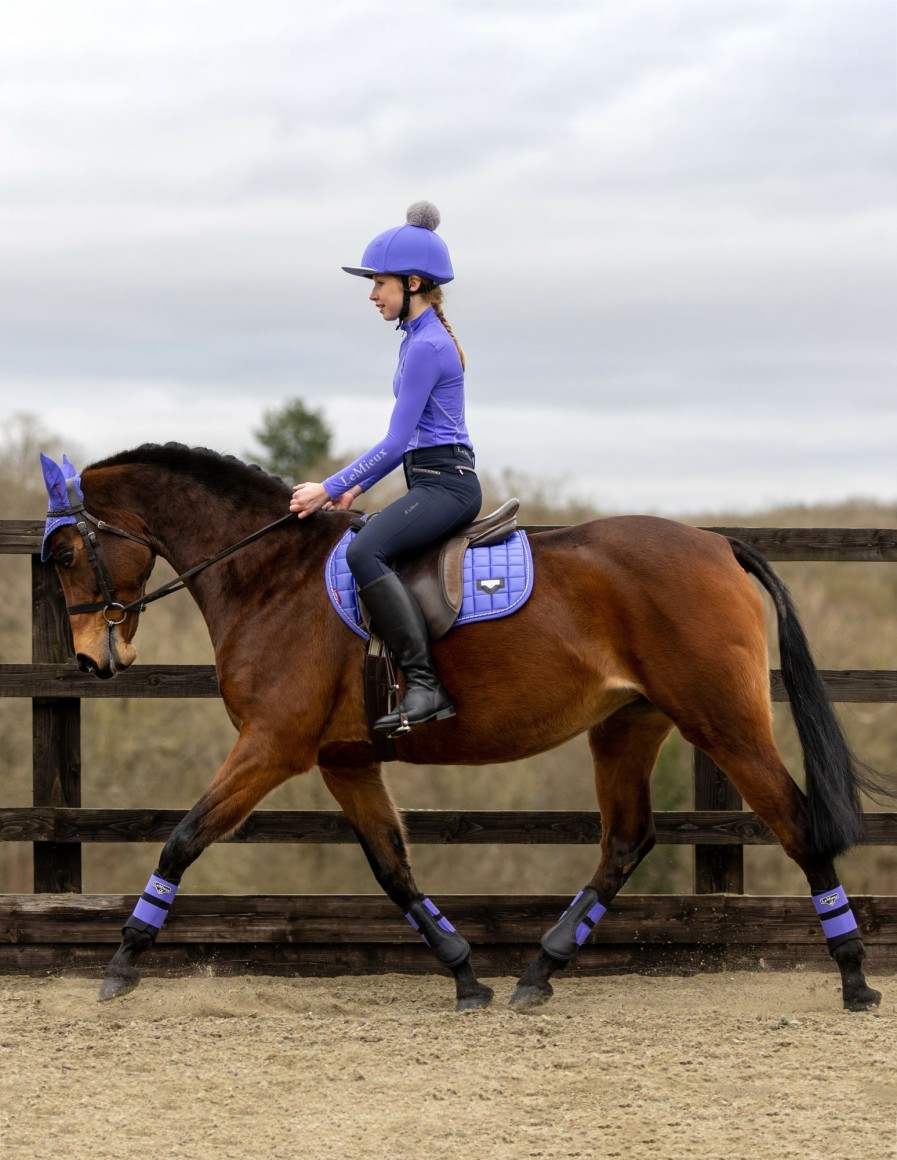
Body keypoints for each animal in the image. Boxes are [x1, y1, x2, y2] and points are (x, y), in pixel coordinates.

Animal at [38, 445, 886, 1016]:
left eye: (70, 549)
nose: (88, 659)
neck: (272, 577)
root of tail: (716, 542)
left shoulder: (272, 746)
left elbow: (182, 838)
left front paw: (122, 963)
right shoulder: (345, 760)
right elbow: (393, 870)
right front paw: (463, 972)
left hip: (721, 720)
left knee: (795, 825)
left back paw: (853, 977)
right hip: (626, 726)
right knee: (625, 840)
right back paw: (538, 971)